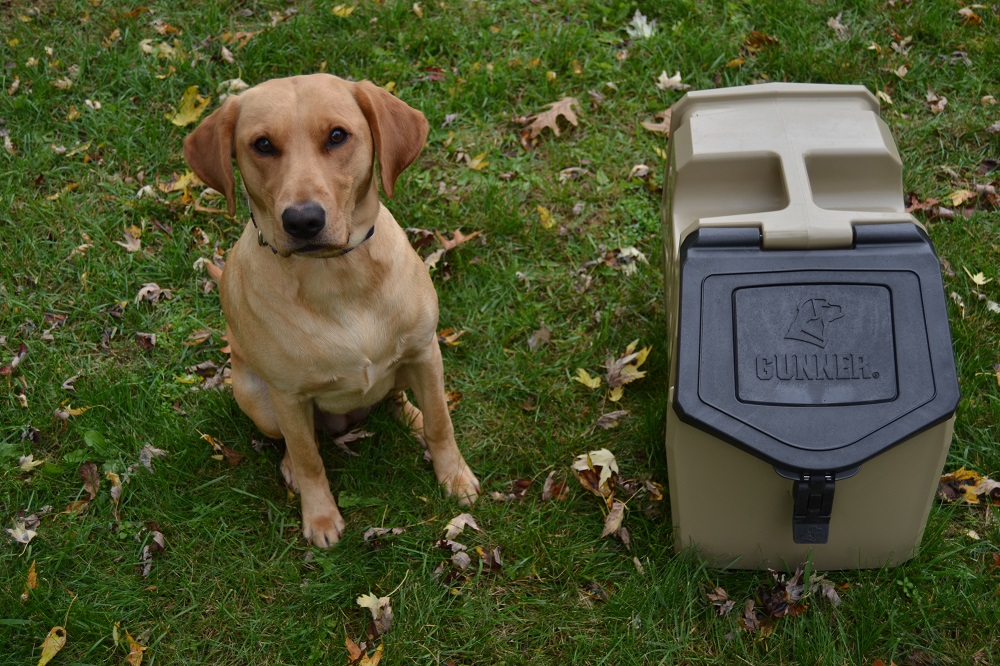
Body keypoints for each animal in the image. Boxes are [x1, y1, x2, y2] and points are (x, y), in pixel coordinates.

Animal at [188, 74, 484, 544]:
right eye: (262, 144)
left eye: (337, 136)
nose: (303, 221)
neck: (338, 278)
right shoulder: (288, 396)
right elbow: (309, 458)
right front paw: (321, 516)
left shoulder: (425, 350)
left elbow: (441, 423)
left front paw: (453, 476)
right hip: (256, 397)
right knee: (295, 443)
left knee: (402, 398)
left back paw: (413, 416)